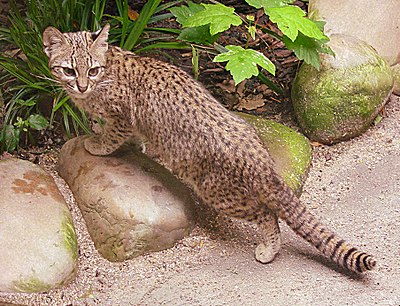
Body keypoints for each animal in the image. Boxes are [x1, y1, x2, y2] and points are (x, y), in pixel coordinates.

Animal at [43, 23, 378, 272]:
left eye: (92, 70)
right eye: (69, 70)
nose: (81, 85)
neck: (109, 66)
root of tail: (260, 160)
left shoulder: (121, 116)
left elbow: (112, 137)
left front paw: (96, 143)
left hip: (219, 193)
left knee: (267, 214)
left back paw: (268, 248)